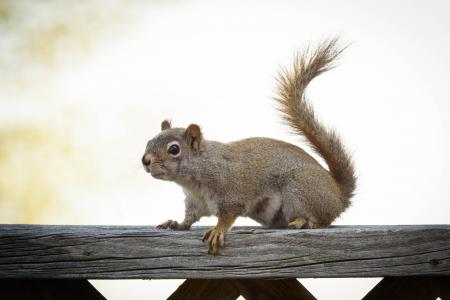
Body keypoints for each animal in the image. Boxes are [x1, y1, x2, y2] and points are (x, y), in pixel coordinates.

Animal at [141, 37, 356, 253]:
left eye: (174, 149)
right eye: (149, 141)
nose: (145, 160)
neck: (194, 180)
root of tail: (338, 196)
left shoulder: (231, 194)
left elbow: (227, 216)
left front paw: (218, 230)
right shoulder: (195, 202)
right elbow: (190, 218)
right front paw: (175, 223)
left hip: (301, 190)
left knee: (325, 220)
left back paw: (306, 222)